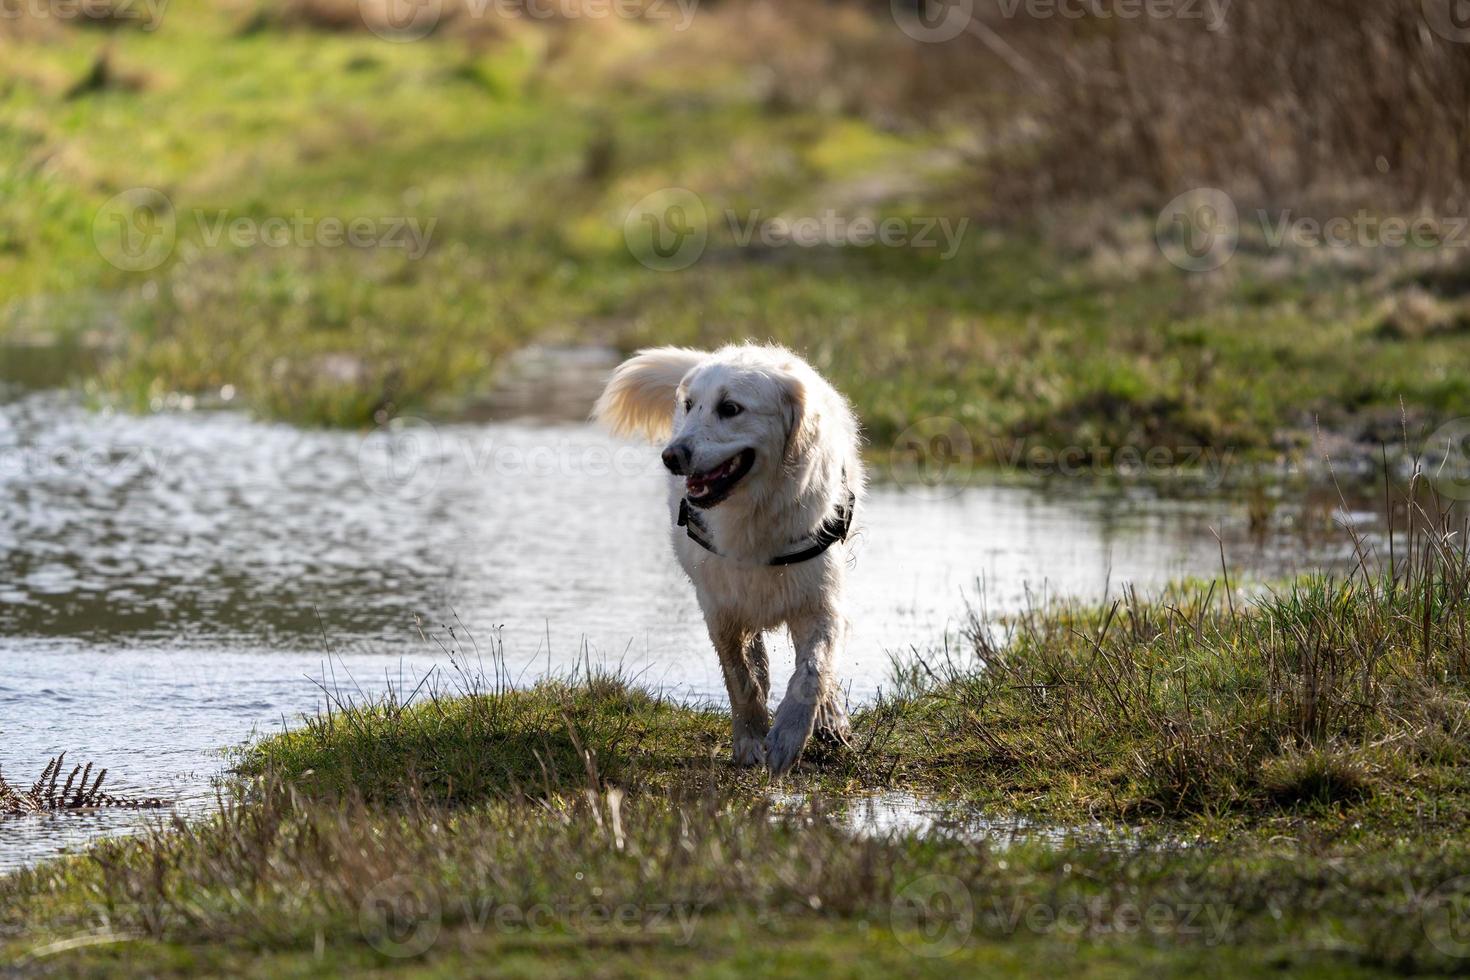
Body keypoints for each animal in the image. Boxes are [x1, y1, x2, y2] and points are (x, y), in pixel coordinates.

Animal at [590, 340, 858, 775]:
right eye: (690, 405)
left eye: (731, 408)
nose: (671, 456)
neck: (755, 513)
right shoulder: (719, 608)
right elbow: (742, 678)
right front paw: (750, 740)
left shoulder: (820, 599)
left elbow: (813, 672)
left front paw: (787, 737)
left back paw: (831, 719)